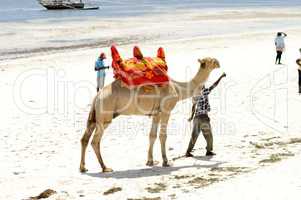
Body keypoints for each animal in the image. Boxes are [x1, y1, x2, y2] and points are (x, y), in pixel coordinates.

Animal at [79, 55, 220, 172]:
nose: (218, 62)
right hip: (105, 116)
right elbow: (163, 136)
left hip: (94, 116)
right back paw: (105, 167)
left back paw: (83, 167)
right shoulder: (166, 111)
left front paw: (150, 161)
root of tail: (97, 96)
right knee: (95, 141)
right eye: (210, 60)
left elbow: (152, 135)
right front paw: (165, 161)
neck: (178, 88)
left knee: (84, 138)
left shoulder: (156, 114)